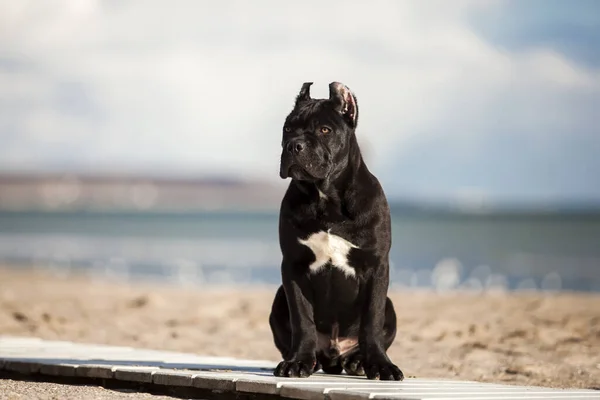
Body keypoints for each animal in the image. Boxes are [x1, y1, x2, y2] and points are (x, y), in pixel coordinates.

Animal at [268, 82, 404, 382]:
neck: (326, 197)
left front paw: (381, 365)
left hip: (390, 305)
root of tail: (333, 354)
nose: (294, 145)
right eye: (287, 128)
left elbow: (372, 320)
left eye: (324, 130)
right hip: (279, 299)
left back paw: (358, 361)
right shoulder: (293, 267)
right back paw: (308, 359)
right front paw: (298, 361)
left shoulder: (376, 265)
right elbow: (302, 319)